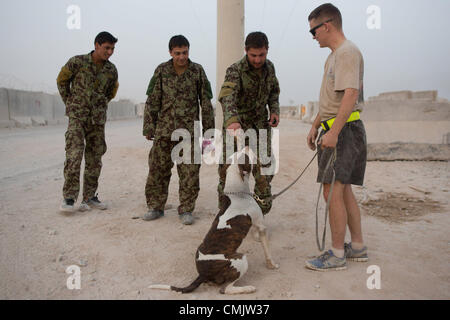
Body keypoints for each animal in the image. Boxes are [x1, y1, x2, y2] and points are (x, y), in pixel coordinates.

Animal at [149, 149, 280, 294]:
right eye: (245, 156)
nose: (247, 146)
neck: (236, 193)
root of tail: (203, 274)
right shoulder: (261, 226)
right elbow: (267, 251)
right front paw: (272, 265)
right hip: (240, 259)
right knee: (226, 289)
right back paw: (247, 288)